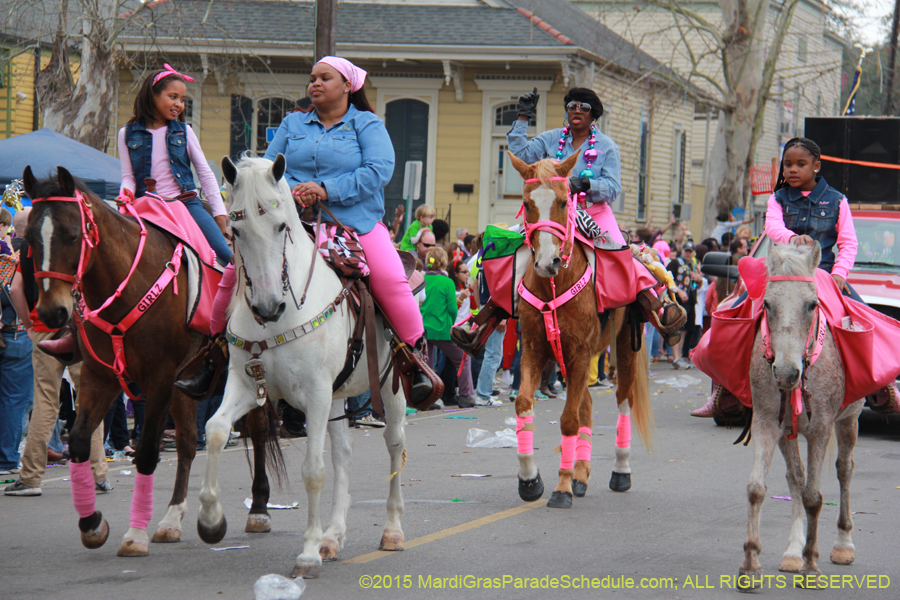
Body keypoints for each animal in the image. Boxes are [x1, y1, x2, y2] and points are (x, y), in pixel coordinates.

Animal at [21, 166, 234, 556]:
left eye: (72, 235)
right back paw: (171, 519)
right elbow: (79, 441)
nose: (51, 313)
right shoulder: (99, 376)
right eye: (29, 239)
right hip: (188, 386)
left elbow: (147, 452)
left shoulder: (160, 379)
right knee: (187, 441)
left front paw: (135, 535)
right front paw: (92, 524)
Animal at [197, 155, 408, 576]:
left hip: (389, 387)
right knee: (343, 453)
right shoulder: (247, 387)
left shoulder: (315, 395)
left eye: (281, 226)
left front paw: (308, 552)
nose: (267, 306)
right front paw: (211, 520)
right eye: (235, 229)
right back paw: (333, 535)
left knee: (394, 444)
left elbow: (313, 470)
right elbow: (214, 430)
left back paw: (391, 530)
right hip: (339, 396)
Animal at [510, 154, 652, 506]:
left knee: (623, 400)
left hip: (623, 348)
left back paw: (620, 471)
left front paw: (561, 488)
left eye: (564, 201)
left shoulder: (581, 352)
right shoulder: (534, 349)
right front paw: (530, 480)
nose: (547, 262)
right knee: (587, 404)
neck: (554, 285)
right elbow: (524, 404)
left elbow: (569, 420)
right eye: (527, 204)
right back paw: (580, 474)